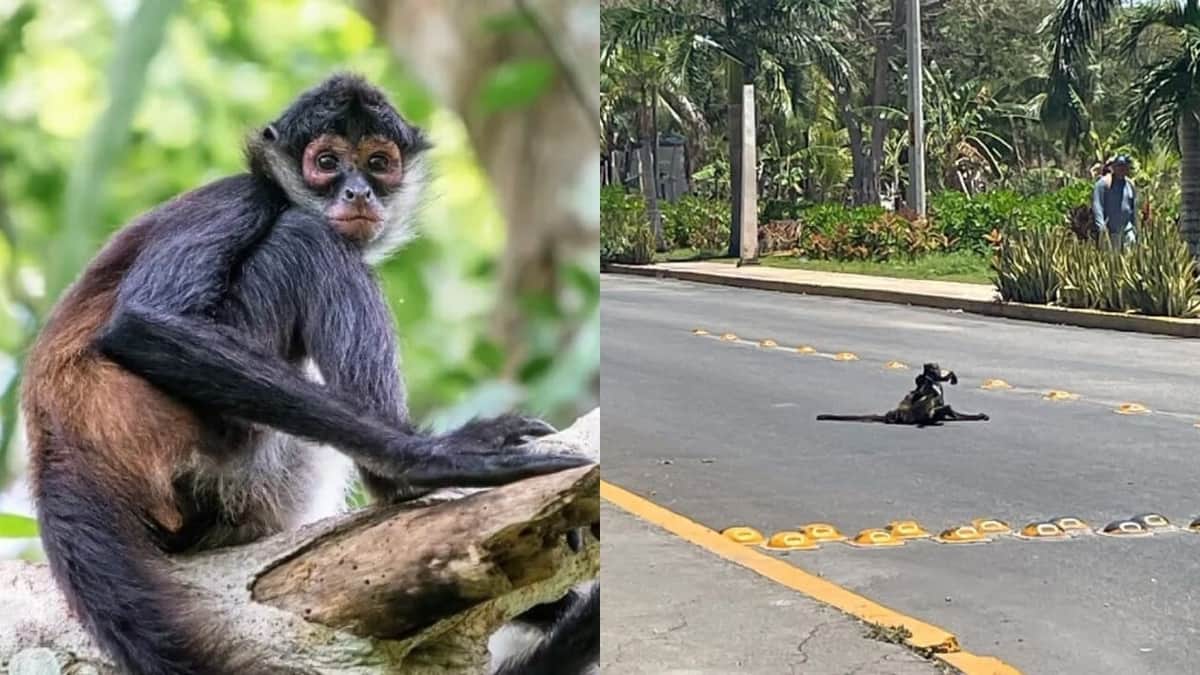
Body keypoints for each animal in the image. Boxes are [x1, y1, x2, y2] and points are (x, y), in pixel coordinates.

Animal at [21, 73, 597, 675]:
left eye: (378, 163)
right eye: (326, 162)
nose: (358, 193)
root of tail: (57, 447)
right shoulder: (239, 197)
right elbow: (140, 324)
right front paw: (429, 458)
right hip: (209, 445)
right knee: (306, 237)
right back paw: (399, 483)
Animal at [816, 363, 990, 427]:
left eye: (934, 368)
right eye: (930, 368)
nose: (930, 372)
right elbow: (917, 393)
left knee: (943, 409)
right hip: (913, 414)